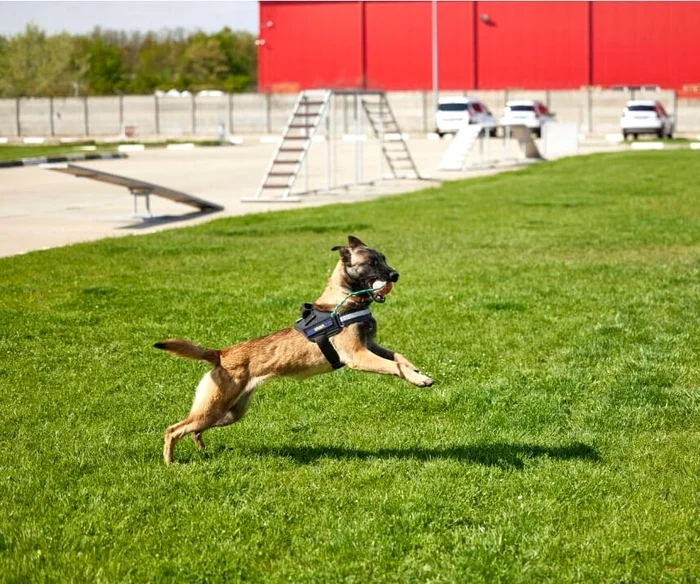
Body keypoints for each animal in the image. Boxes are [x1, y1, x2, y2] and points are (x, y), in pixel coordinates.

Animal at [156, 236, 434, 466]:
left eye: (384, 258)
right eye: (371, 262)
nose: (395, 275)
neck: (342, 302)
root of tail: (220, 353)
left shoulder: (370, 347)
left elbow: (398, 357)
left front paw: (418, 372)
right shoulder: (358, 356)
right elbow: (393, 366)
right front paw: (417, 379)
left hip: (229, 411)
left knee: (193, 429)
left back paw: (200, 448)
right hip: (215, 407)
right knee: (173, 429)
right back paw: (170, 463)